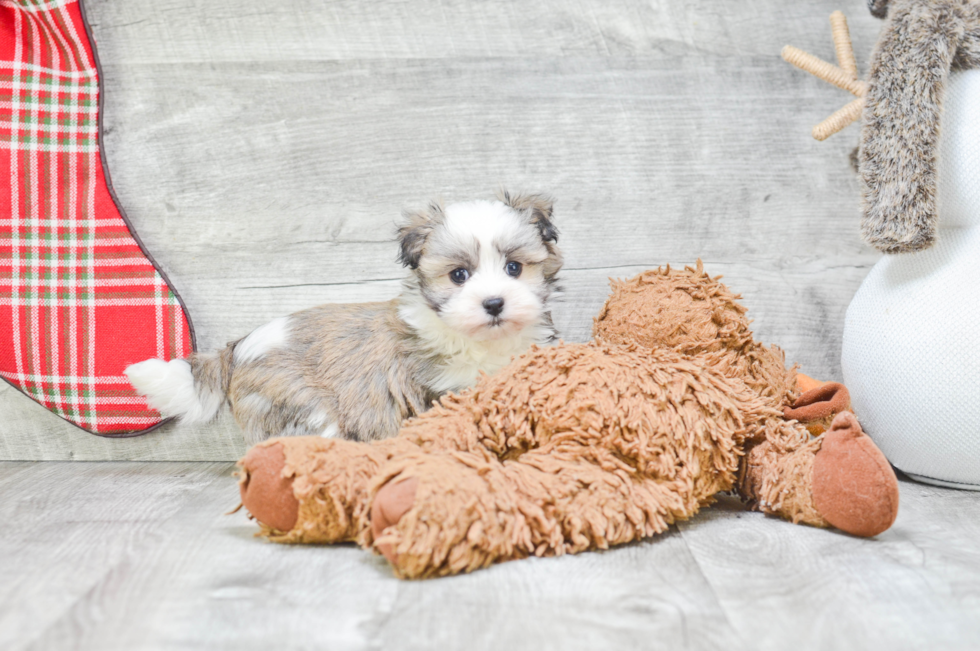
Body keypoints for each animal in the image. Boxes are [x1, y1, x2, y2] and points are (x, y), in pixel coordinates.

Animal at [126, 192, 564, 448]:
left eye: (513, 268)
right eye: (459, 275)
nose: (494, 303)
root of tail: (237, 349)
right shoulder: (437, 390)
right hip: (301, 405)